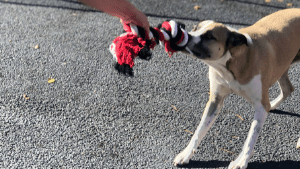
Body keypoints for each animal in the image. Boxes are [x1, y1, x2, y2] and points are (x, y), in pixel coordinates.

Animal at [172, 8, 300, 169]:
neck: (232, 63)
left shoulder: (260, 106)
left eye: (209, 36)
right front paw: (186, 154)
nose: (184, 34)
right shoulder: (215, 100)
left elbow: (251, 137)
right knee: (288, 88)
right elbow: (199, 130)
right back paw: (273, 105)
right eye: (195, 28)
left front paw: (241, 161)